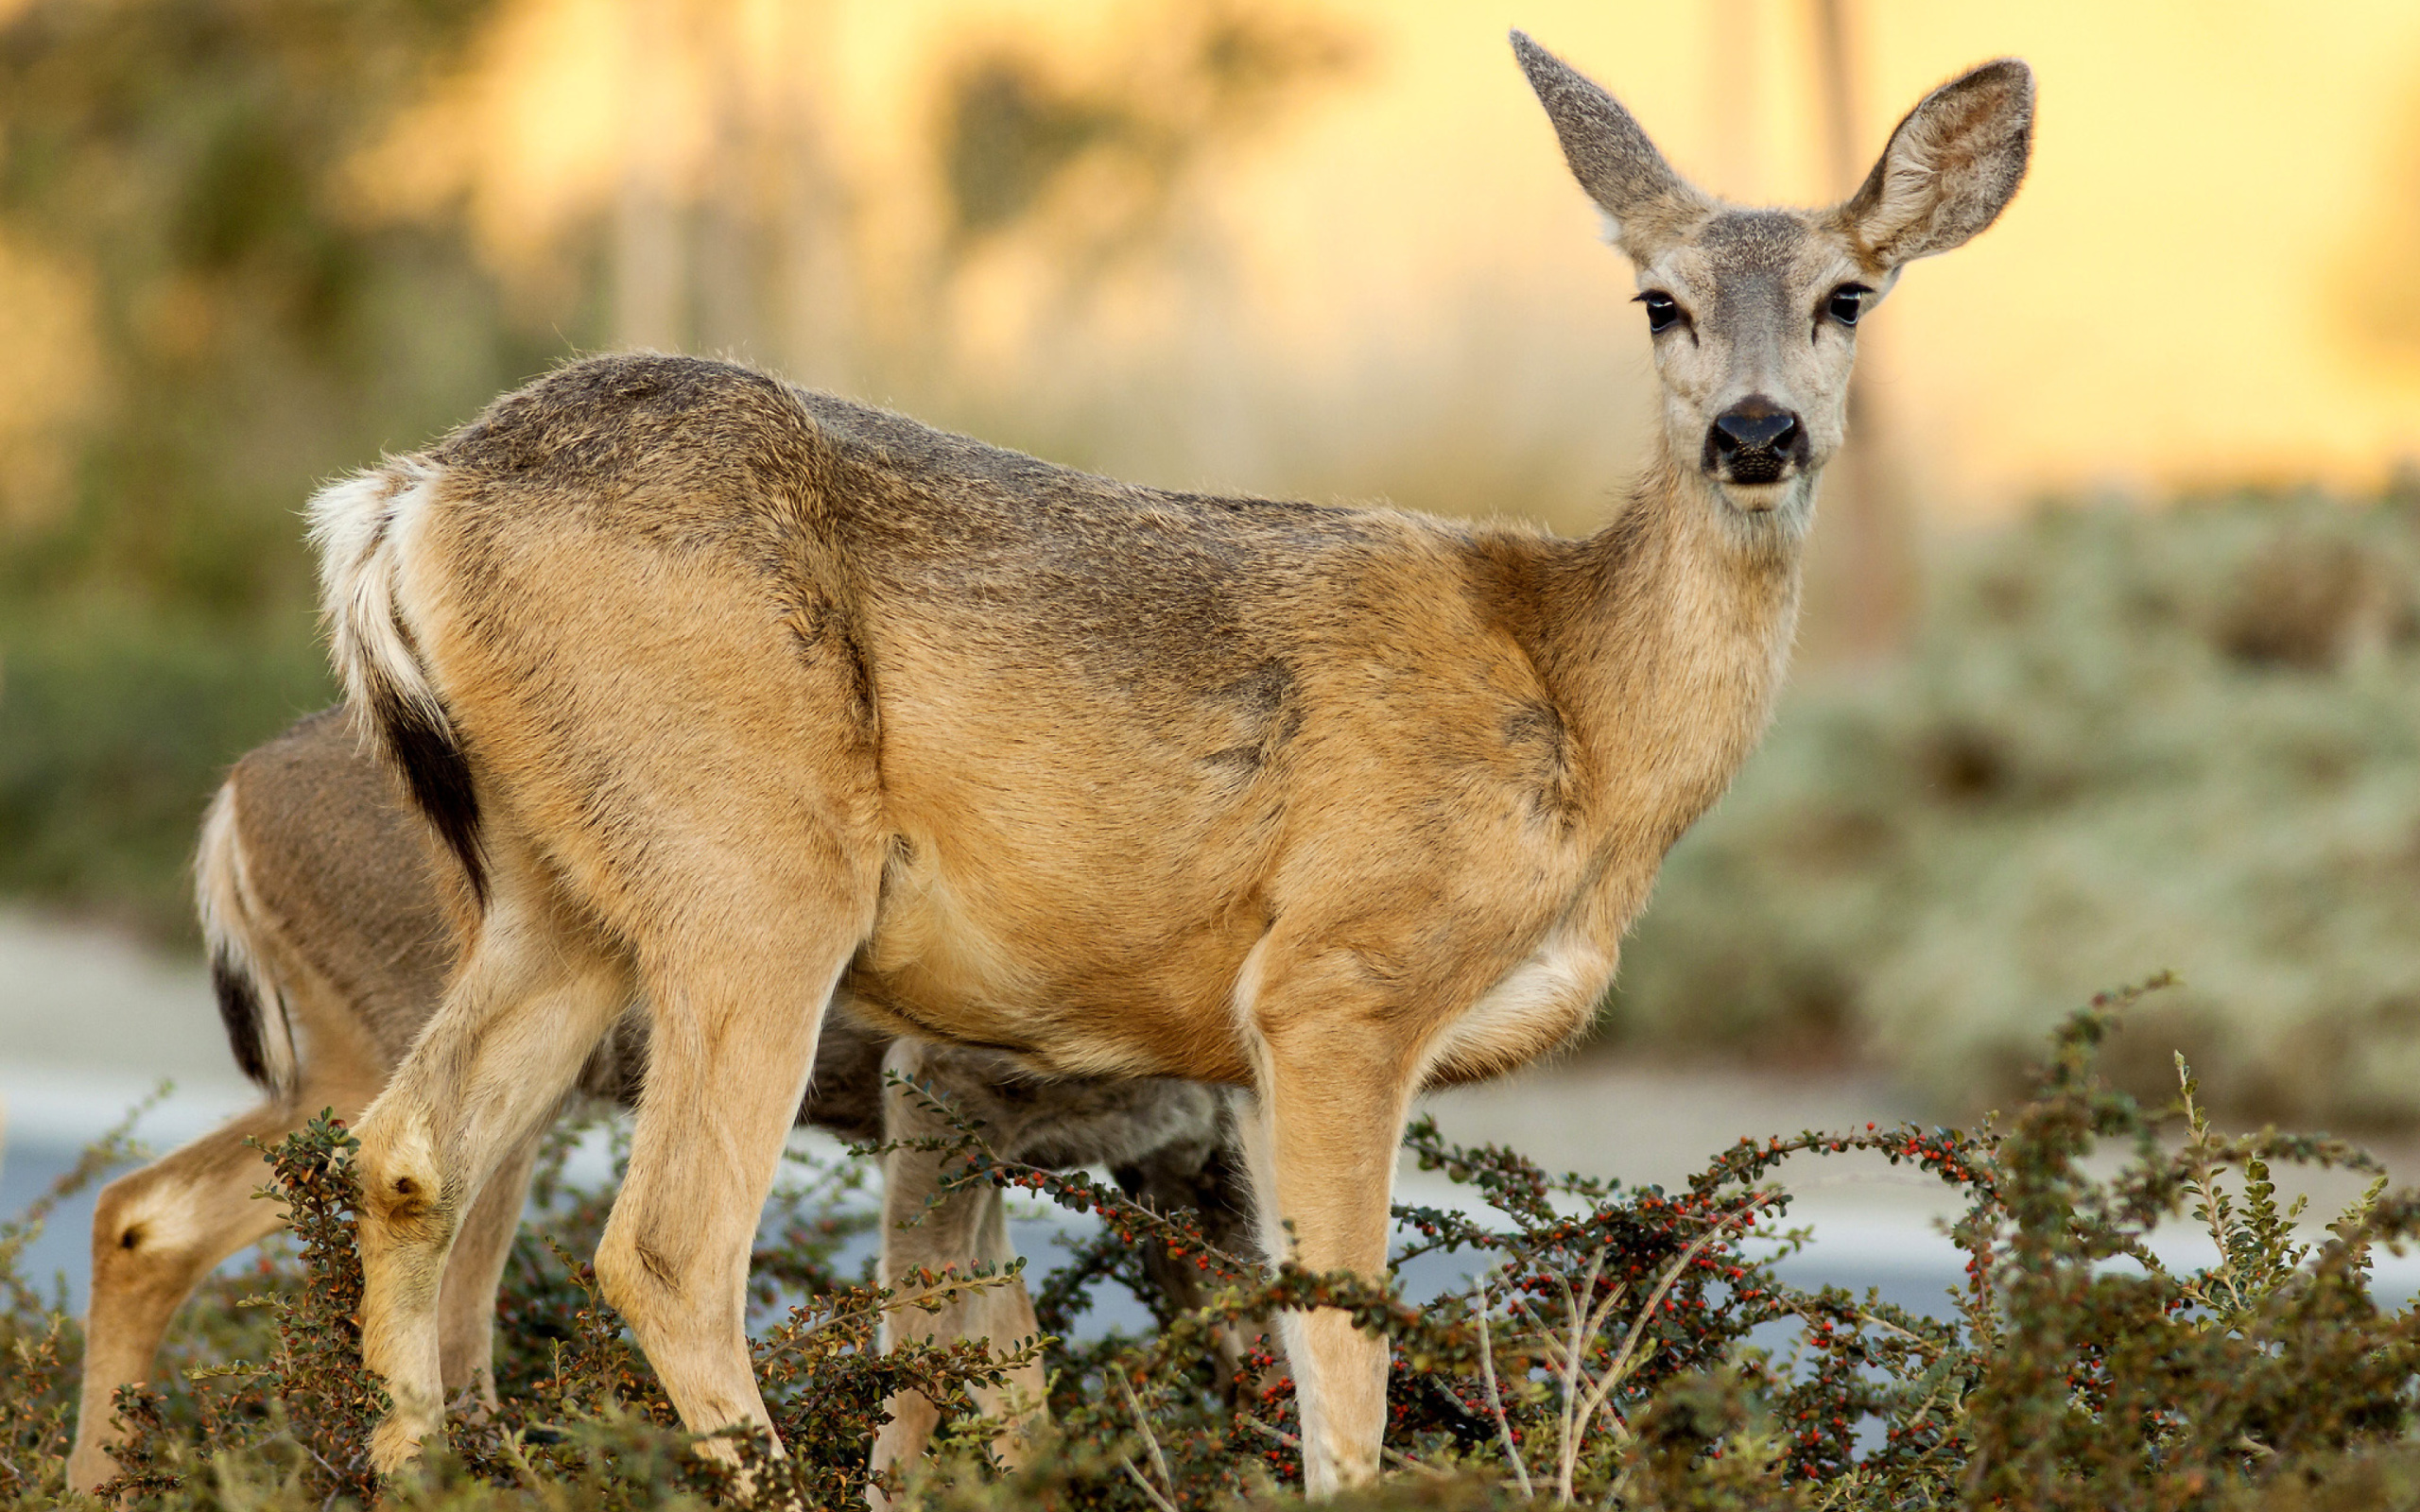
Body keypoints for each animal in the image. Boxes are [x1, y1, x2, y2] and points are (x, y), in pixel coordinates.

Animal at [66, 706, 1258, 1500]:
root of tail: (233, 798)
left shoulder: (1191, 1167)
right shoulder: (937, 1087)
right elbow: (943, 1362)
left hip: (346, 1059)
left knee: (143, 1212)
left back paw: (92, 1481)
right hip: (413, 1037)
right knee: (439, 1309)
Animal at [302, 32, 2032, 1489]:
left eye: (1849, 296)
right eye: (1657, 299)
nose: (1755, 436)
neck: (1584, 717)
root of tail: (410, 496)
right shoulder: (1338, 980)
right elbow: (1340, 1349)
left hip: (558, 886)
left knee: (408, 1154)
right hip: (756, 865)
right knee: (664, 1244)